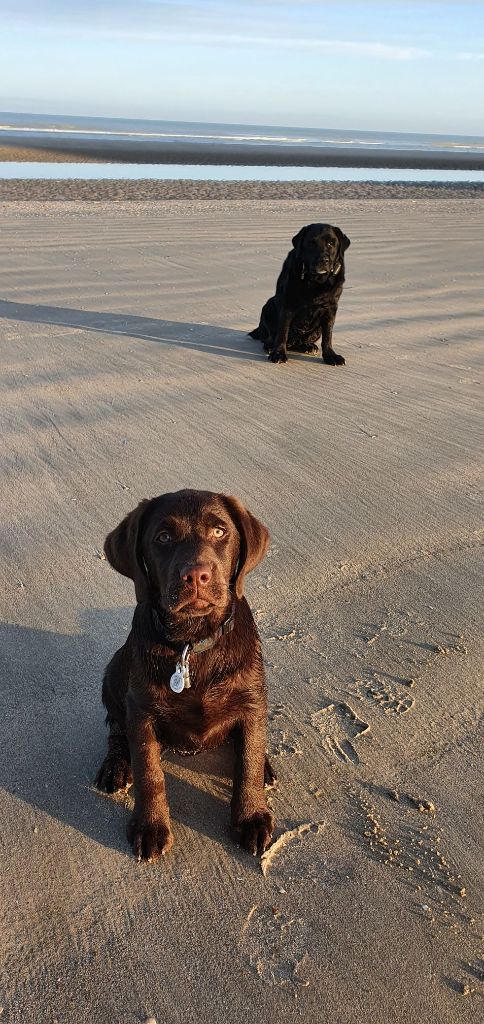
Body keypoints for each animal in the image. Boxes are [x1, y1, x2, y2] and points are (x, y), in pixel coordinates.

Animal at [248, 222, 349, 366]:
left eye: (331, 243)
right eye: (311, 243)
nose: (323, 260)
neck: (315, 281)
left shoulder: (331, 307)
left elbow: (328, 335)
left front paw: (330, 355)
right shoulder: (287, 304)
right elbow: (282, 332)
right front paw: (278, 353)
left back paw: (308, 346)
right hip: (268, 305)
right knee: (271, 336)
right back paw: (270, 346)